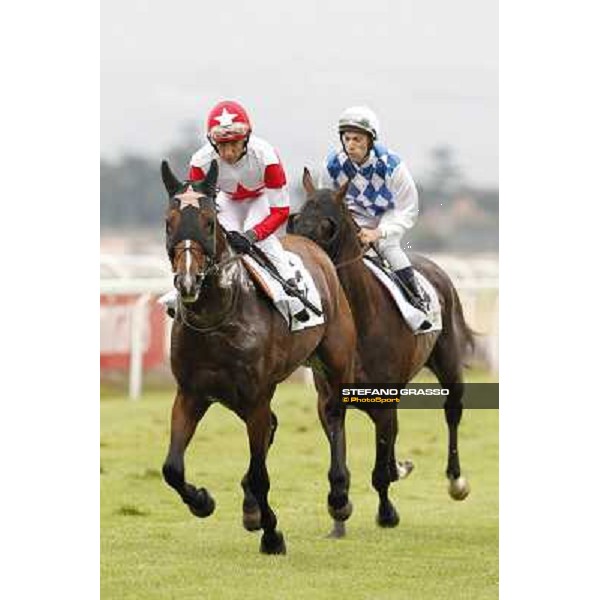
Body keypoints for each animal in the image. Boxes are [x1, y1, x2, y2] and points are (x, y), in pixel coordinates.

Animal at [159, 159, 356, 552]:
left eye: (209, 222)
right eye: (169, 222)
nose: (187, 282)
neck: (218, 318)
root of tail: (312, 245)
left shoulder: (256, 397)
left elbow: (261, 473)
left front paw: (272, 534)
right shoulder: (192, 393)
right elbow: (172, 469)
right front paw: (203, 501)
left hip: (335, 360)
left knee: (334, 414)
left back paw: (339, 497)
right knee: (273, 431)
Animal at [292, 169, 478, 536]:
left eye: (328, 225)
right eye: (295, 220)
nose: (307, 264)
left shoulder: (382, 401)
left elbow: (379, 471)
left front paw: (387, 513)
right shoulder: (329, 400)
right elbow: (341, 459)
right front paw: (338, 515)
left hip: (449, 364)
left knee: (452, 412)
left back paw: (456, 480)